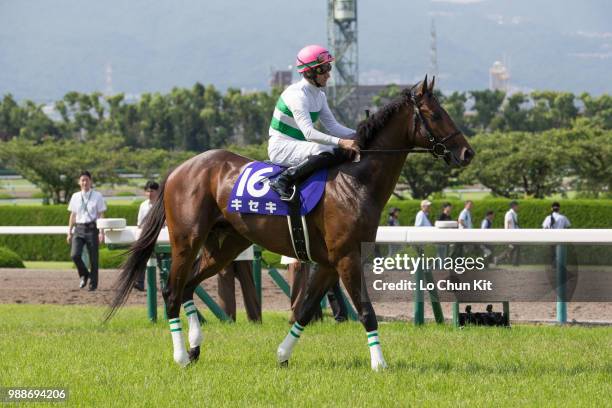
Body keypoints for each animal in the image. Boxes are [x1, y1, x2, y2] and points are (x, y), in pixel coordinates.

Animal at [107, 75, 476, 370]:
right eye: (436, 114)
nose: (467, 153)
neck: (355, 181)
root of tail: (179, 169)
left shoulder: (328, 261)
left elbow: (304, 310)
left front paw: (283, 355)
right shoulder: (347, 256)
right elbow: (366, 310)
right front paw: (380, 364)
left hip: (226, 245)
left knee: (187, 286)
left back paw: (196, 345)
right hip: (186, 239)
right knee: (172, 289)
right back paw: (182, 355)